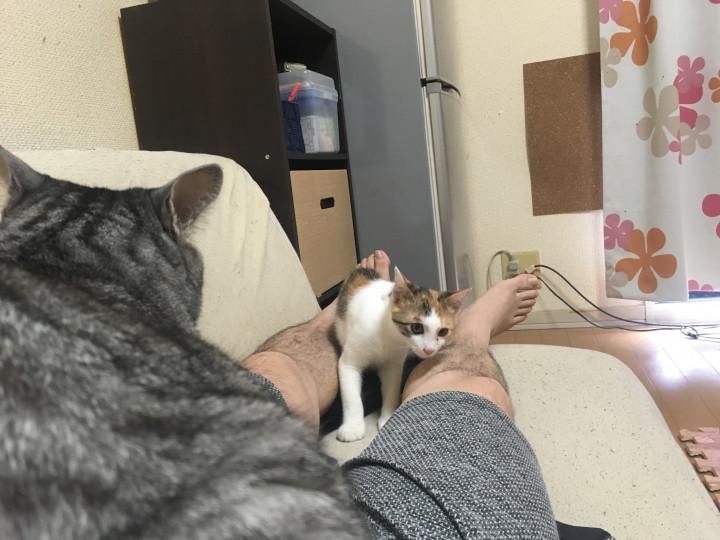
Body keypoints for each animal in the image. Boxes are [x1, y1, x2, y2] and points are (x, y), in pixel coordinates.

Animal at [334, 267, 469, 442]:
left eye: (443, 331)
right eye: (416, 327)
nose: (429, 350)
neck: (389, 334)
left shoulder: (393, 364)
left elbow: (391, 388)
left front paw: (387, 418)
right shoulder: (350, 360)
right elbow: (351, 396)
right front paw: (353, 427)